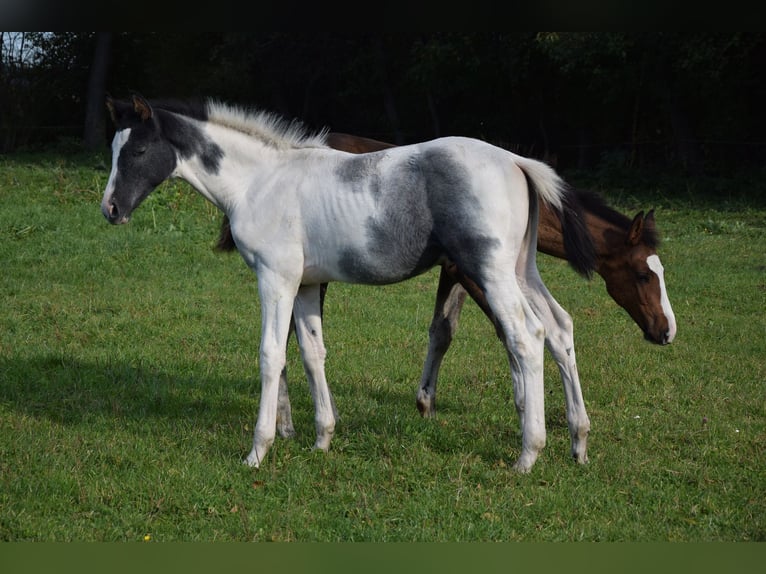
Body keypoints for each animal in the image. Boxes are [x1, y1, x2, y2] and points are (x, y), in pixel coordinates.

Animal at [99, 94, 596, 472]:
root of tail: (515, 160)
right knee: (560, 328)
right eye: (113, 151)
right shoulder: (304, 285)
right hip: (520, 271)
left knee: (526, 337)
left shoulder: (275, 278)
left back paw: (528, 455)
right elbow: (311, 352)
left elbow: (271, 355)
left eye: (137, 152)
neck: (259, 182)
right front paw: (322, 438)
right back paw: (578, 443)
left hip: (490, 272)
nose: (110, 210)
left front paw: (258, 450)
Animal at [216, 132, 680, 428]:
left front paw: (429, 403)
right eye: (643, 274)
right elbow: (499, 331)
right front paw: (520, 404)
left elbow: (444, 331)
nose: (666, 332)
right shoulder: (468, 271)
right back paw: (287, 421)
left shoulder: (454, 272)